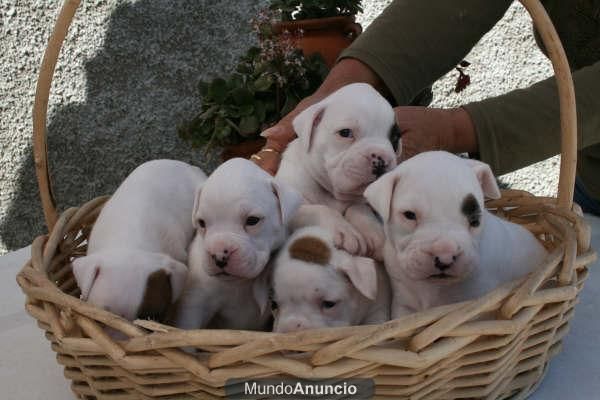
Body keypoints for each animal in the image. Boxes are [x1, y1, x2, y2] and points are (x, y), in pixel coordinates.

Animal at [278, 83, 404, 256]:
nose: (382, 160)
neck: (332, 193)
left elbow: (358, 208)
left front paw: (374, 232)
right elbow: (320, 210)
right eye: (345, 133)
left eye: (395, 139)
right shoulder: (291, 210)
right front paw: (345, 230)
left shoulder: (364, 203)